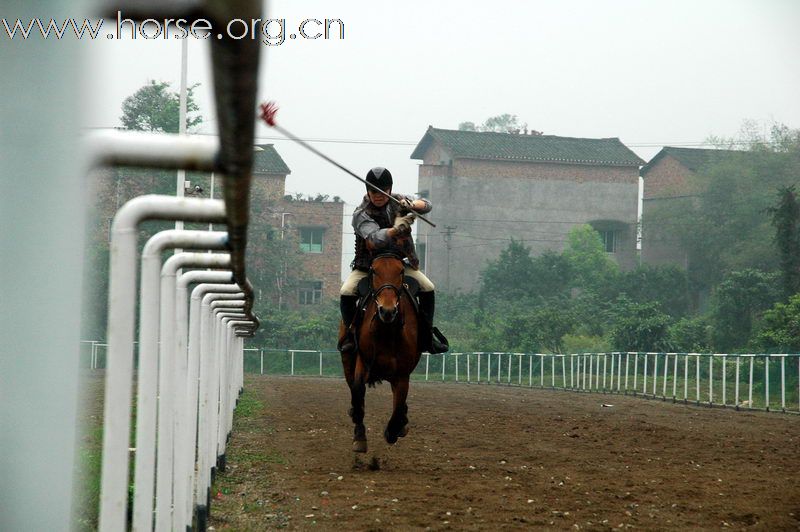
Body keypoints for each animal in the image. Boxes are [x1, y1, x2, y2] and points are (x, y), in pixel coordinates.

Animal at [340, 254, 422, 454]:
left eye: (400, 271)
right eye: (374, 271)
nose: (387, 310)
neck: (387, 331)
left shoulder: (402, 374)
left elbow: (399, 405)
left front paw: (393, 430)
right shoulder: (363, 363)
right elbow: (358, 392)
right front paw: (359, 437)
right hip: (347, 361)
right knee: (353, 389)